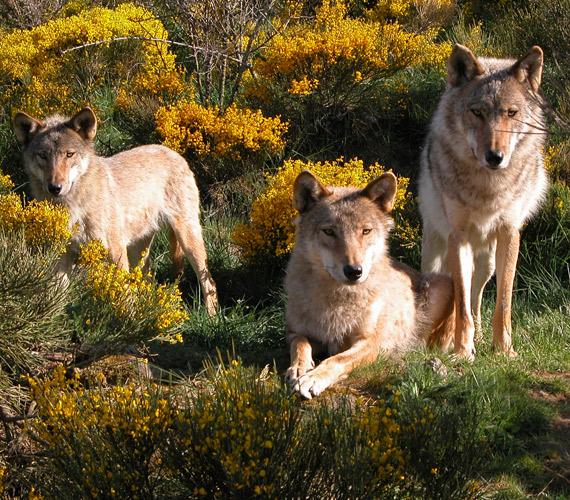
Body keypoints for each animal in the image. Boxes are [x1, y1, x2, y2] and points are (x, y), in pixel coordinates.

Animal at [13, 107, 217, 314]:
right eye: (43, 155)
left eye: (69, 154)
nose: (55, 187)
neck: (74, 207)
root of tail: (174, 153)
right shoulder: (62, 257)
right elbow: (56, 299)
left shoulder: (115, 253)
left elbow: (126, 297)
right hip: (138, 251)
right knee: (148, 280)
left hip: (187, 239)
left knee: (209, 282)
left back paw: (211, 316)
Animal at [284, 171, 452, 398]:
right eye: (329, 231)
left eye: (366, 231)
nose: (354, 271)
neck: (338, 299)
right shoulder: (295, 332)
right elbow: (300, 345)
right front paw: (299, 369)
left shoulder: (370, 342)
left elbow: (337, 359)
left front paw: (314, 378)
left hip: (444, 283)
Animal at [418, 44, 544, 360]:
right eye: (477, 112)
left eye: (511, 113)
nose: (495, 157)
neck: (488, 188)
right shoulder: (458, 237)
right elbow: (460, 306)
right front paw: (462, 351)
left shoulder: (510, 234)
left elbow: (503, 303)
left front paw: (504, 350)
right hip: (435, 259)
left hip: (487, 263)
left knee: (476, 300)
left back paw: (479, 337)